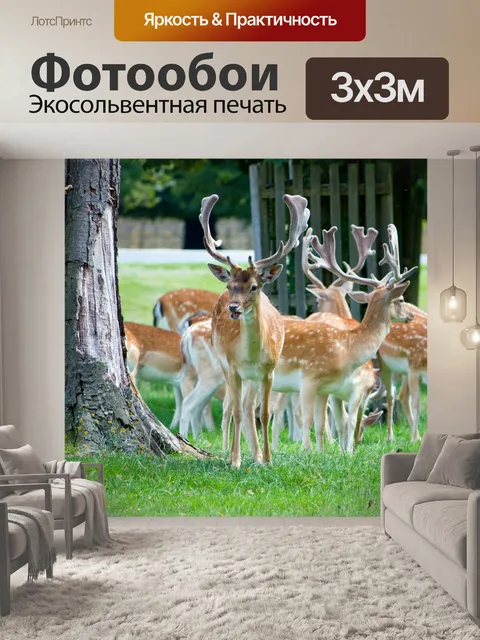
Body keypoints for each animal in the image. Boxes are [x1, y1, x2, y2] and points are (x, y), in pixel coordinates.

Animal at [201, 193, 310, 468]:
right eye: (230, 285)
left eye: (253, 286)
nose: (233, 308)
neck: (250, 355)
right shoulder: (233, 367)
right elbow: (237, 411)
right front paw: (236, 461)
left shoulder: (269, 370)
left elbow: (265, 413)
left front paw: (268, 459)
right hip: (223, 364)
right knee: (233, 407)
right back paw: (234, 453)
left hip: (252, 377)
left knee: (250, 407)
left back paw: (257, 455)